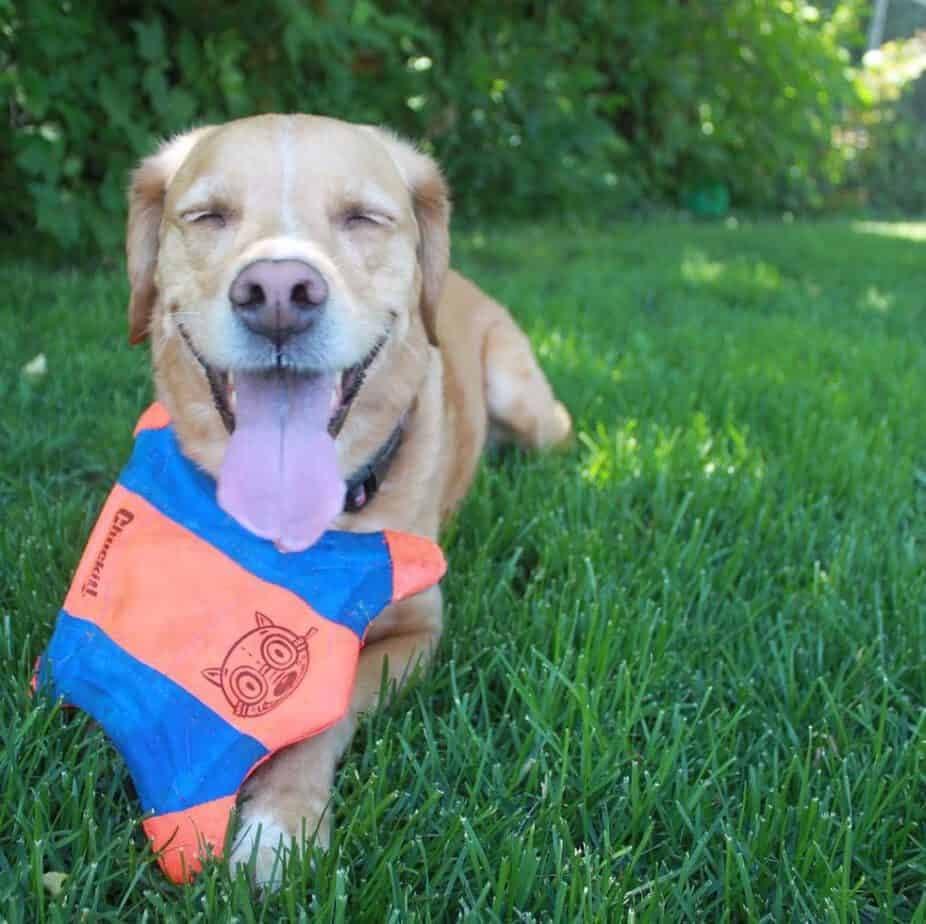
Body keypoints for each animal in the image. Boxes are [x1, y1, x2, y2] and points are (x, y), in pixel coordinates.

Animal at [123, 115, 572, 888]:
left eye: (363, 218)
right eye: (208, 216)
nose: (278, 292)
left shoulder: (416, 632)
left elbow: (326, 711)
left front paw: (279, 823)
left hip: (527, 403)